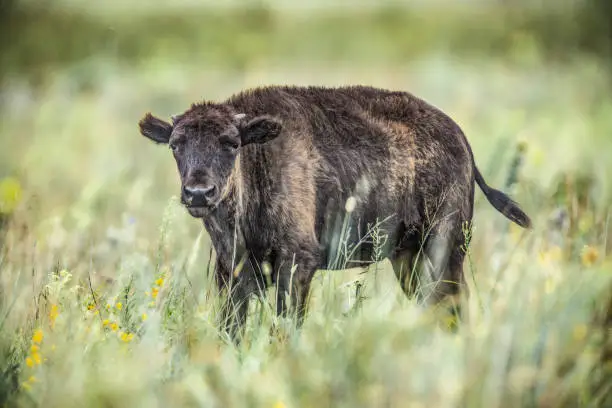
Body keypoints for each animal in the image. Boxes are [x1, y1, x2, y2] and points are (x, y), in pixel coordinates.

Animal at [139, 85, 532, 342]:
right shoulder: (231, 270)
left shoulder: (297, 264)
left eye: (231, 143)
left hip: (444, 252)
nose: (198, 192)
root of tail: (461, 140)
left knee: (452, 307)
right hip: (409, 259)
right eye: (175, 145)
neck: (258, 159)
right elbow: (231, 329)